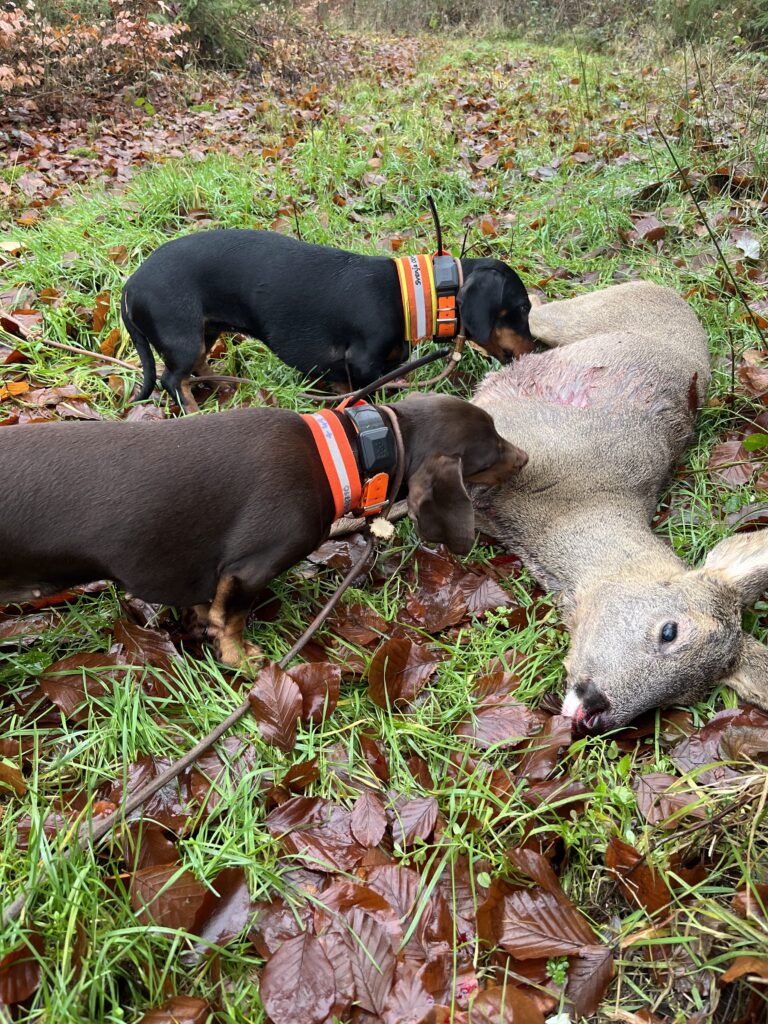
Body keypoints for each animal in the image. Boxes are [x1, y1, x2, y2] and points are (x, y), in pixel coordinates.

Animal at [0, 394, 527, 666]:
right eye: (491, 451)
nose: (525, 458)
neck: (349, 452)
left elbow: (205, 604)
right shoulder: (250, 569)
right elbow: (230, 621)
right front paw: (240, 657)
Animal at [121, 230, 533, 410]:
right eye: (523, 309)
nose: (535, 350)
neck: (409, 295)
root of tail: (130, 284)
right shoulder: (365, 364)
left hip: (205, 334)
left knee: (193, 369)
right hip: (184, 338)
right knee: (172, 379)